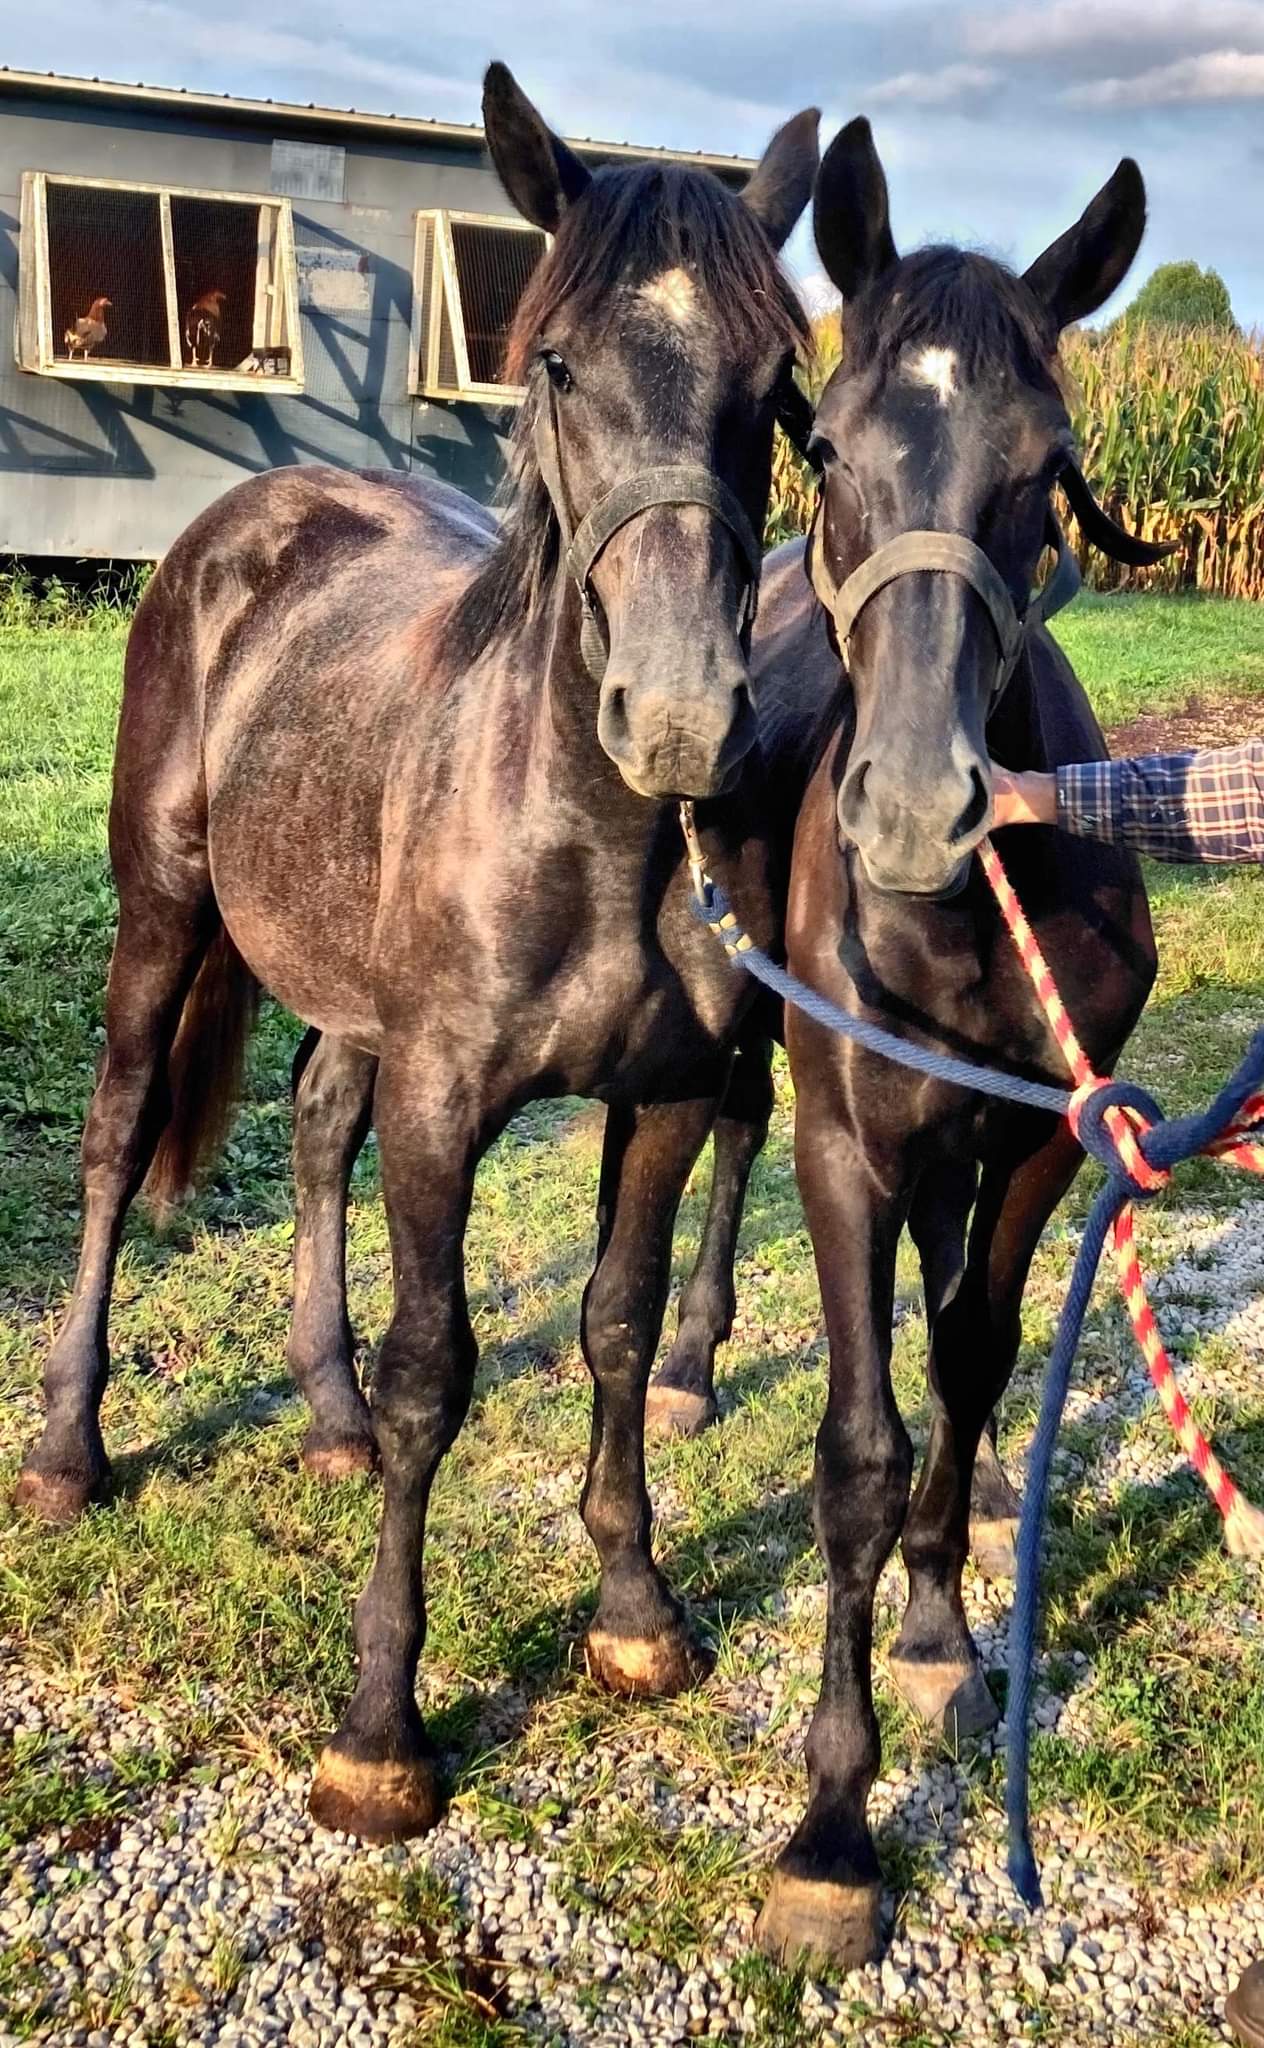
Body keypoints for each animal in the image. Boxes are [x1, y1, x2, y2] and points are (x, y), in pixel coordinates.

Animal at [14, 62, 823, 1848]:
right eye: (556, 362)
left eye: (775, 382)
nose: (681, 717)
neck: (589, 830)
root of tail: (244, 523)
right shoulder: (448, 1102)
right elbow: (433, 1375)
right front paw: (380, 1727)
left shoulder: (664, 1099)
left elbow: (615, 1322)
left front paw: (636, 1613)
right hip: (163, 914)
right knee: (115, 1139)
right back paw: (67, 1445)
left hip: (347, 995)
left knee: (318, 1127)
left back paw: (315, 1417)